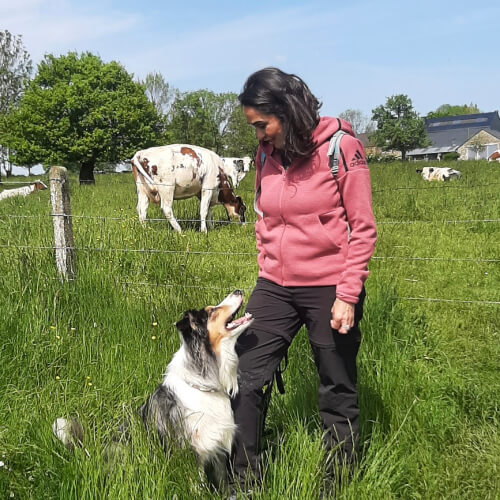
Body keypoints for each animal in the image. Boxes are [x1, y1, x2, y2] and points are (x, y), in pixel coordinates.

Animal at [53, 292, 254, 486]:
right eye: (211, 311)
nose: (238, 291)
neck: (202, 383)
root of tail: (90, 452)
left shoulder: (218, 447)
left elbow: (222, 482)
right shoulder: (189, 451)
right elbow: (196, 486)